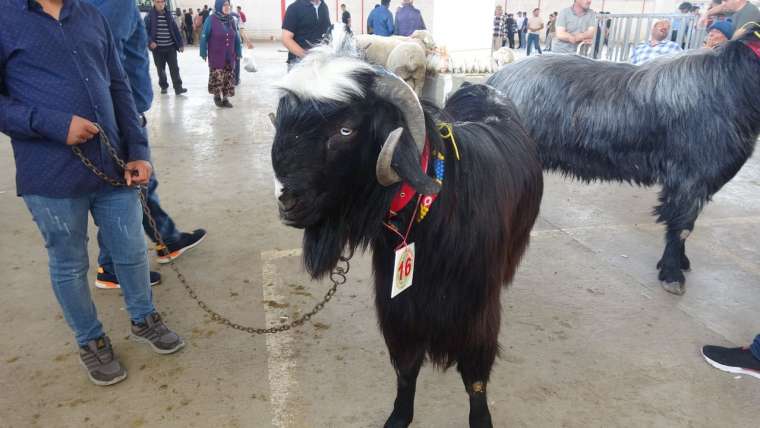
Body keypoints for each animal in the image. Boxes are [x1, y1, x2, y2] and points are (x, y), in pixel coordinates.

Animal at [270, 37, 544, 428]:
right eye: (284, 121)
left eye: (346, 129)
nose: (287, 202)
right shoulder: (398, 307)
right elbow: (406, 367)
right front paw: (399, 416)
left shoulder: (477, 313)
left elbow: (475, 376)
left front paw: (481, 419)